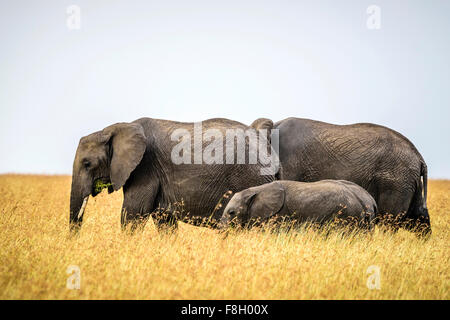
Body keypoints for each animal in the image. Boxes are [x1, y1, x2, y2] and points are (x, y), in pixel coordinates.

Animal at [69, 117, 278, 232]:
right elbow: (164, 219)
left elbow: (134, 212)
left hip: (250, 176)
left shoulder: (145, 168)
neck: (114, 129)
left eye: (87, 164)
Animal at [251, 116, 430, 234]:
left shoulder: (289, 162)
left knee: (389, 220)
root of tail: (419, 158)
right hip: (409, 181)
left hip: (396, 182)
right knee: (419, 217)